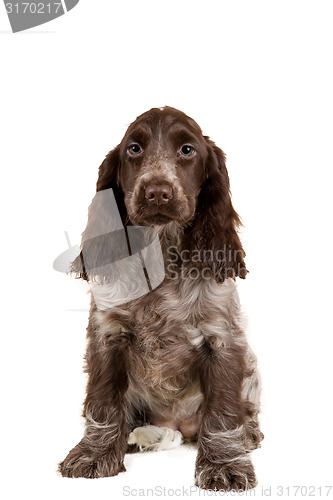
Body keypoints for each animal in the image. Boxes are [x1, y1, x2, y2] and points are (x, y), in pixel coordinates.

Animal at [59, 105, 262, 488]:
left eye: (187, 150)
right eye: (134, 149)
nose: (157, 192)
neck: (162, 252)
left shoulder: (224, 338)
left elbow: (224, 412)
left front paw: (225, 465)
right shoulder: (107, 334)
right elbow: (103, 401)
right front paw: (95, 455)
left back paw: (249, 434)